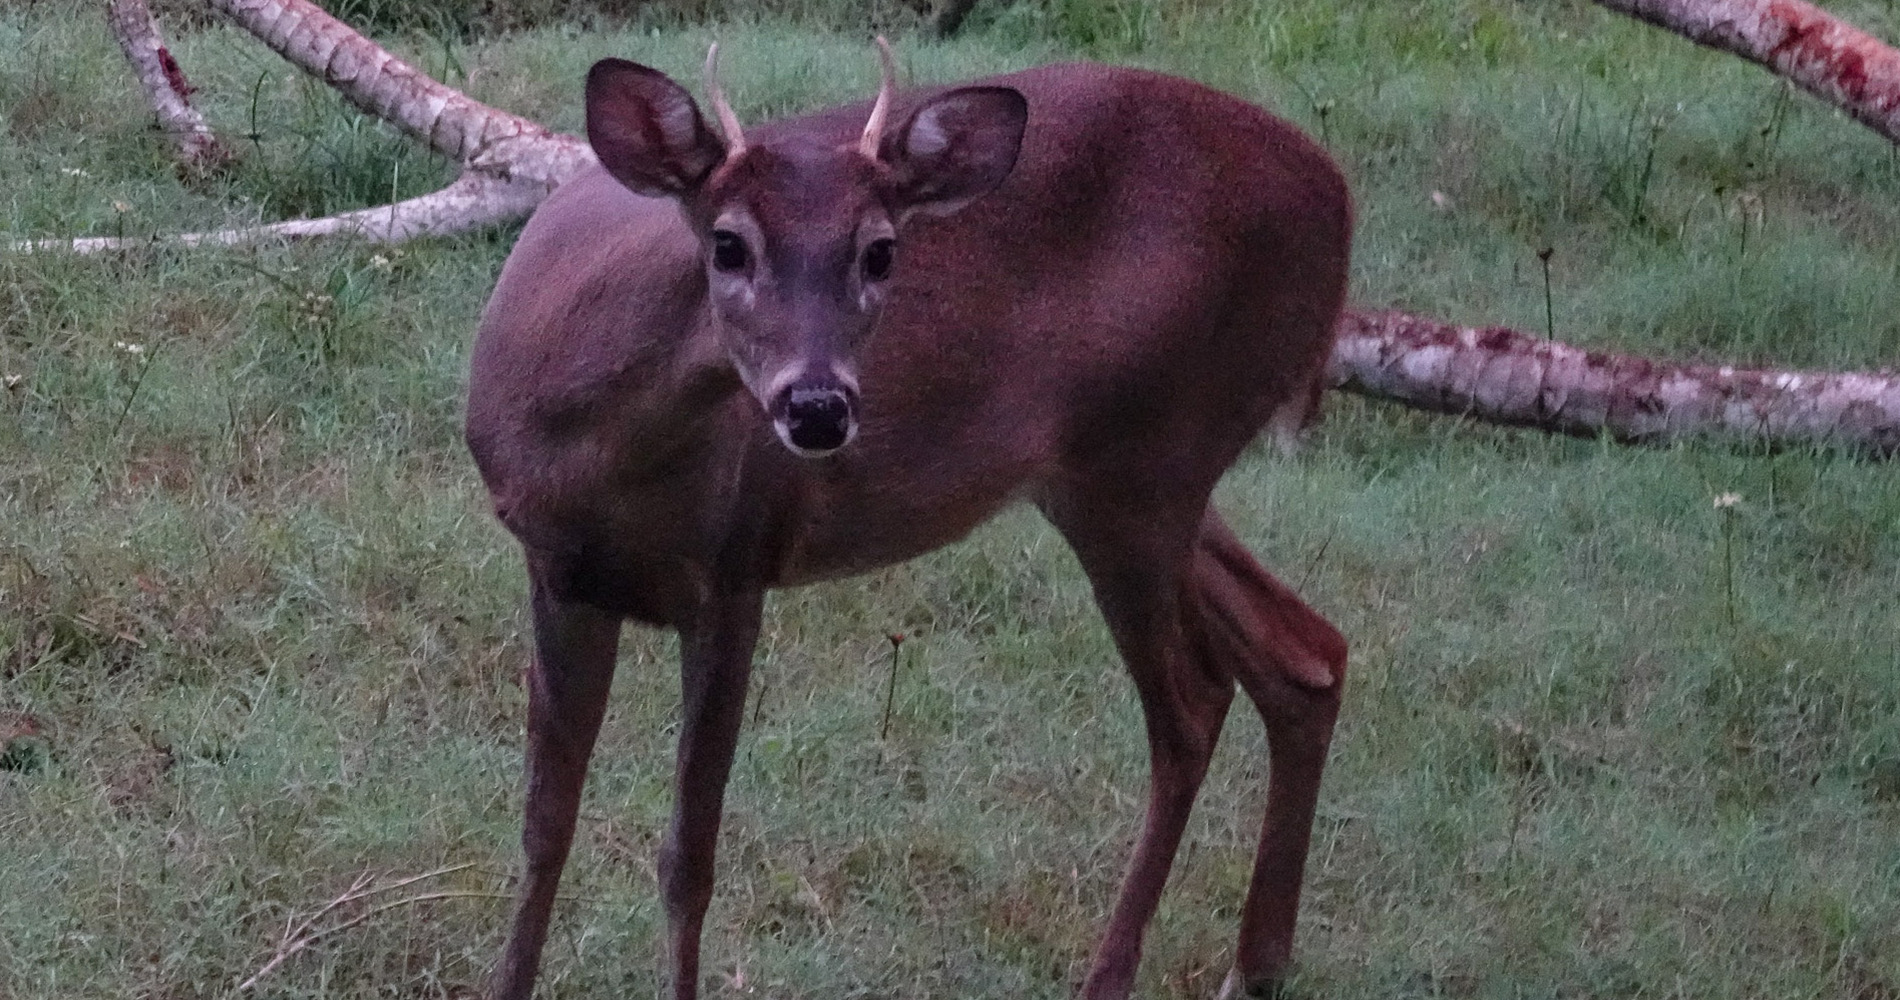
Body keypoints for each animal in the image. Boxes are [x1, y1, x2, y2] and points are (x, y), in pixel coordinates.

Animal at [467, 39, 1360, 1000]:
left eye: (881, 253)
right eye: (728, 244)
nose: (818, 408)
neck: (592, 453)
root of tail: (1340, 207)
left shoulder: (735, 570)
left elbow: (687, 860)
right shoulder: (559, 571)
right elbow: (543, 825)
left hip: (1149, 459)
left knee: (1194, 703)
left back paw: (1115, 974)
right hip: (1121, 479)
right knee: (1305, 653)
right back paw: (1256, 965)